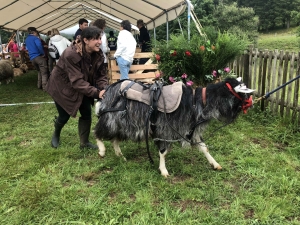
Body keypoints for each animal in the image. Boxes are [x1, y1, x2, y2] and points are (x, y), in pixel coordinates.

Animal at [94, 78, 253, 177]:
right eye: (242, 94)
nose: (251, 103)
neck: (195, 102)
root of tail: (109, 89)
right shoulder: (165, 128)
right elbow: (163, 152)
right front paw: (163, 170)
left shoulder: (191, 129)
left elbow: (204, 148)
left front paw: (215, 164)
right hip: (111, 118)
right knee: (99, 131)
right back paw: (101, 150)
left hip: (123, 124)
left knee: (115, 138)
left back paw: (120, 155)